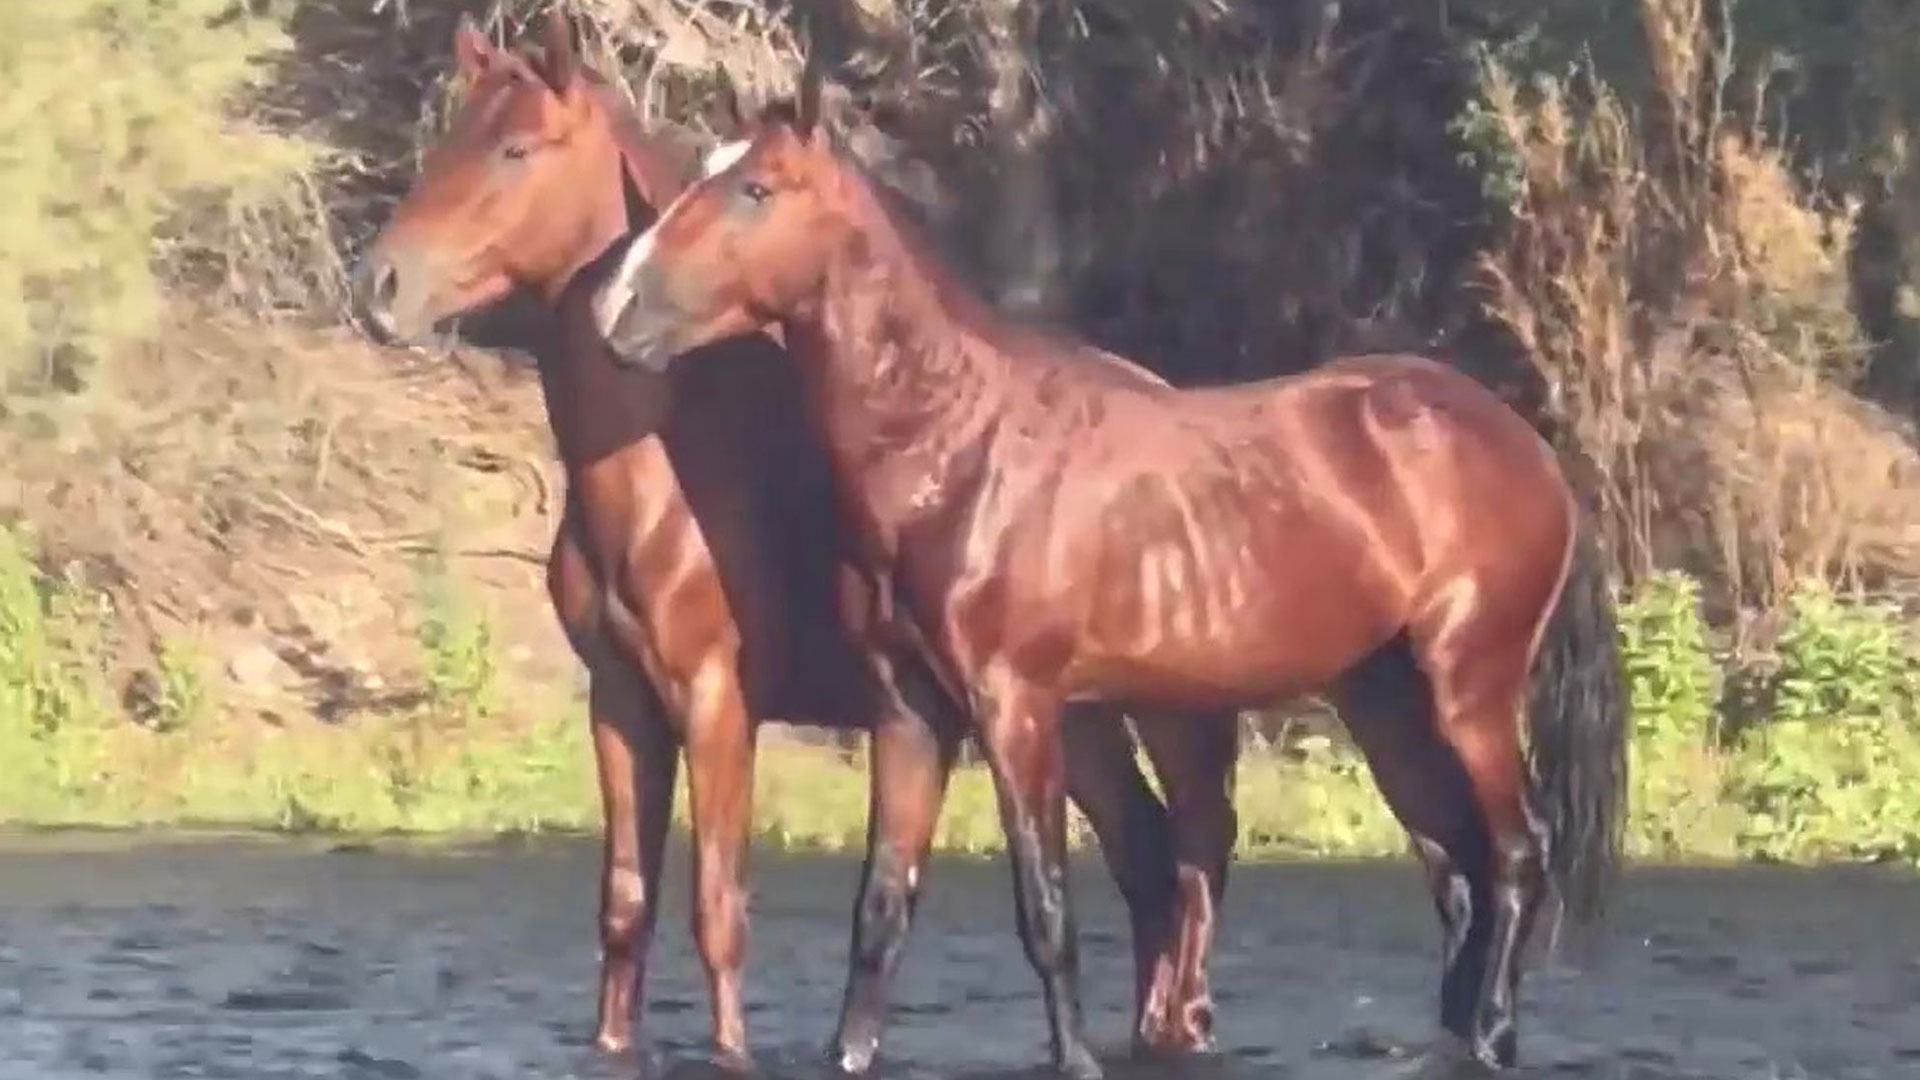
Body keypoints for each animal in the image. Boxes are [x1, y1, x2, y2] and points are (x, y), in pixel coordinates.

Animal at [351, 12, 1236, 1068]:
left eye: (516, 149)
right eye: (452, 136)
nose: (379, 285)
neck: (671, 465)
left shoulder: (716, 702)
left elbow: (717, 911)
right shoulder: (622, 704)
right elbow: (626, 911)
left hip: (1157, 713)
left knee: (1189, 861)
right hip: (1073, 717)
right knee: (1147, 859)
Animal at [591, 94, 1628, 1076]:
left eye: (755, 190)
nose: (619, 312)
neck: (956, 447)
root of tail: (1528, 448)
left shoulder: (1017, 708)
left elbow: (1046, 906)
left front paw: (1077, 1056)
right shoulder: (911, 710)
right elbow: (882, 909)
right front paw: (850, 1052)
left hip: (1469, 691)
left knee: (1516, 855)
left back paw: (1491, 1035)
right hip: (1385, 706)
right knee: (1458, 875)